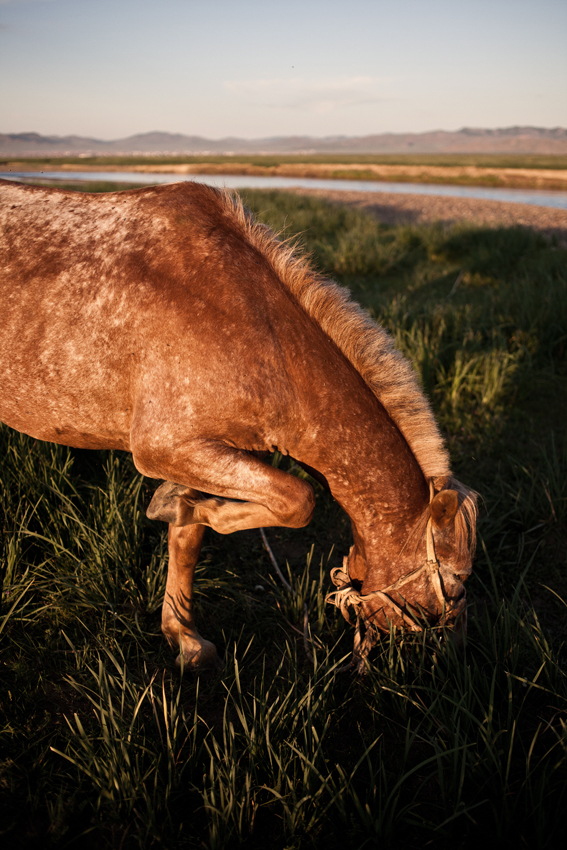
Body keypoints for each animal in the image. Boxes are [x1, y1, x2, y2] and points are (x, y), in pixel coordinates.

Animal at [0, 178, 477, 671]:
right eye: (456, 582)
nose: (457, 655)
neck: (259, 335)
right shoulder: (165, 449)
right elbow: (298, 501)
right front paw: (187, 509)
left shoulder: (211, 453)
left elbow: (188, 539)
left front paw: (184, 635)